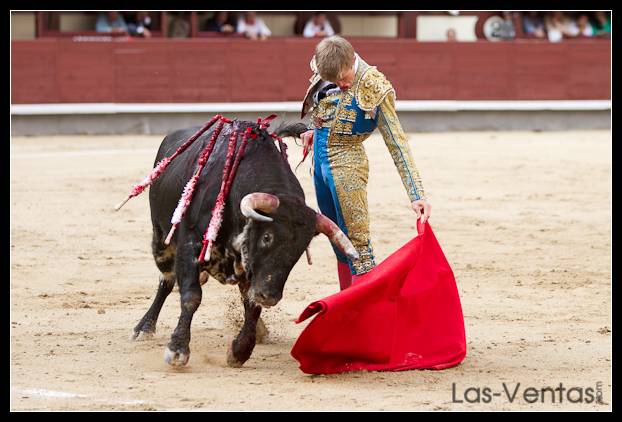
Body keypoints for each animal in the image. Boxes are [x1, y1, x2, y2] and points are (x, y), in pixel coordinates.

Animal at [131, 118, 356, 366]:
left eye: (300, 249)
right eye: (267, 237)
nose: (270, 297)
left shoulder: (253, 269)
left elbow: (251, 305)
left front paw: (240, 350)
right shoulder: (190, 245)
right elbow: (191, 296)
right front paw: (178, 350)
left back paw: (260, 330)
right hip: (161, 238)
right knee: (167, 279)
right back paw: (144, 327)